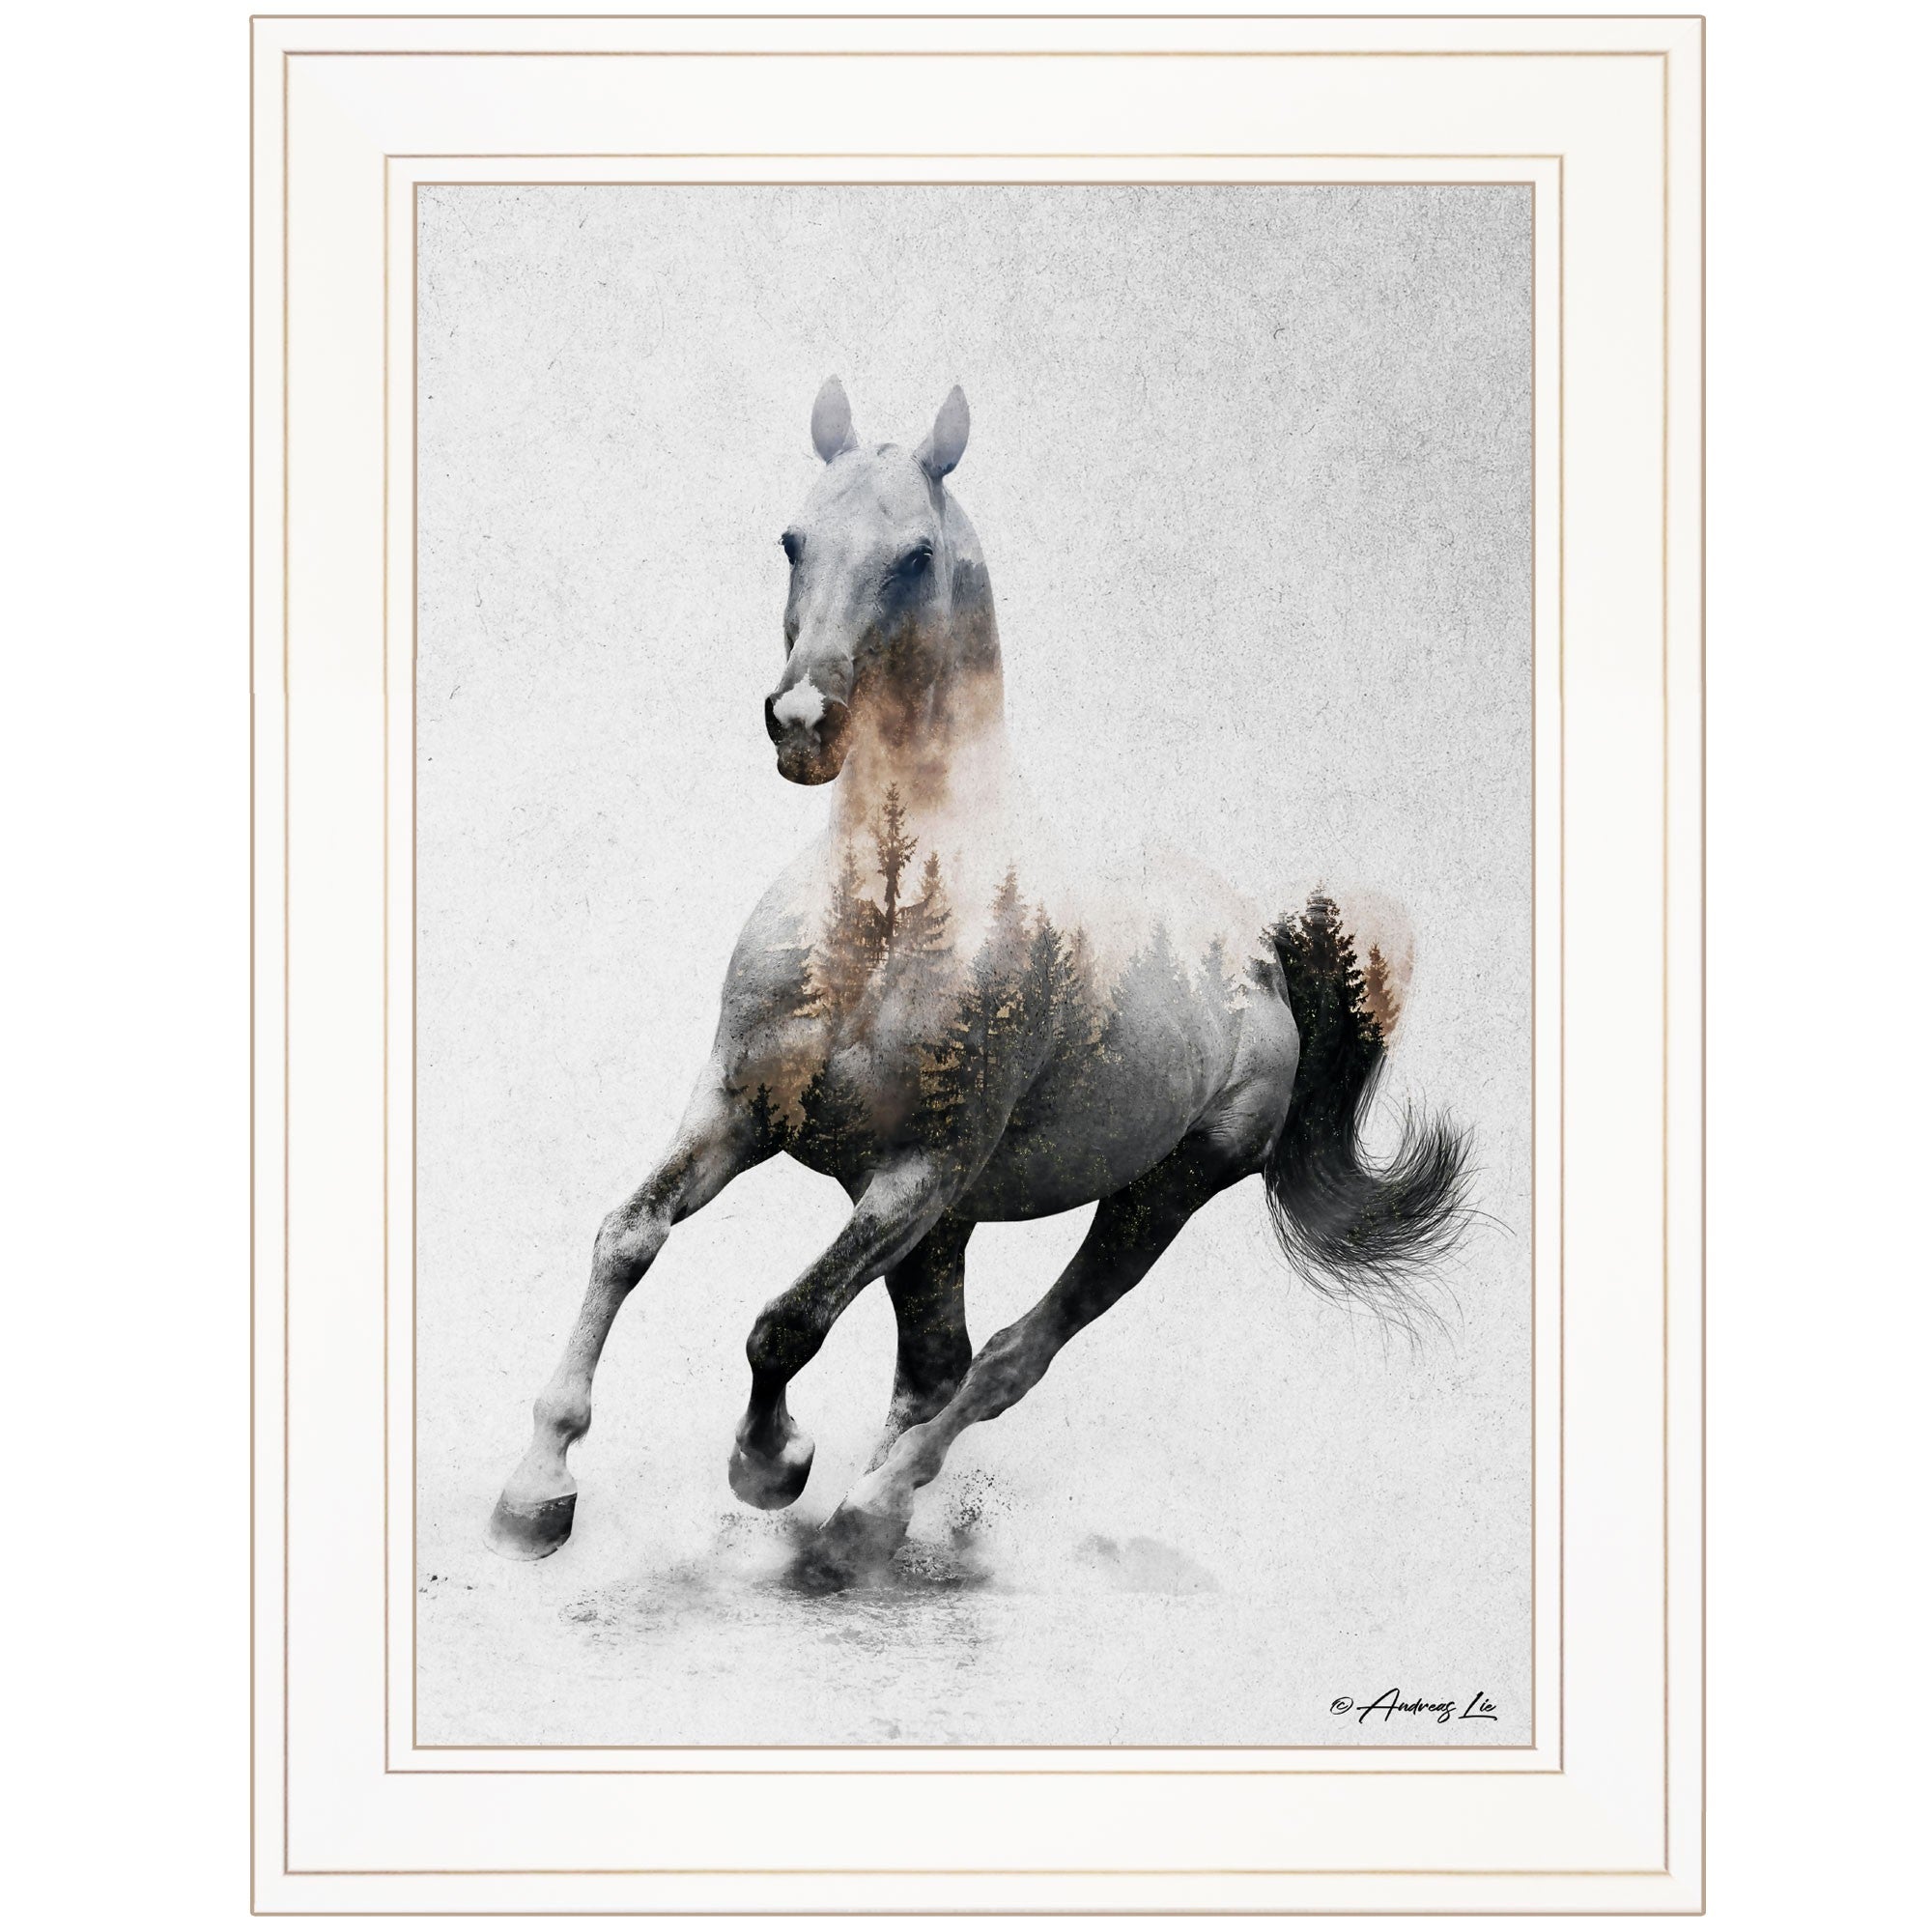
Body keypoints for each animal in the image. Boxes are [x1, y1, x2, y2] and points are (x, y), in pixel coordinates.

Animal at [487, 378, 1470, 1588]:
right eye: (792, 538)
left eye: (913, 554)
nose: (801, 723)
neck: (882, 918)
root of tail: (1261, 952)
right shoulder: (739, 1107)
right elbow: (626, 1235)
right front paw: (536, 1490)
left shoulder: (915, 1169)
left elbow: (785, 1321)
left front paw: (771, 1463)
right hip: (948, 1225)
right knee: (936, 1365)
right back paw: (862, 1521)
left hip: (1156, 1193)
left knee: (1004, 1360)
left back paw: (861, 1516)